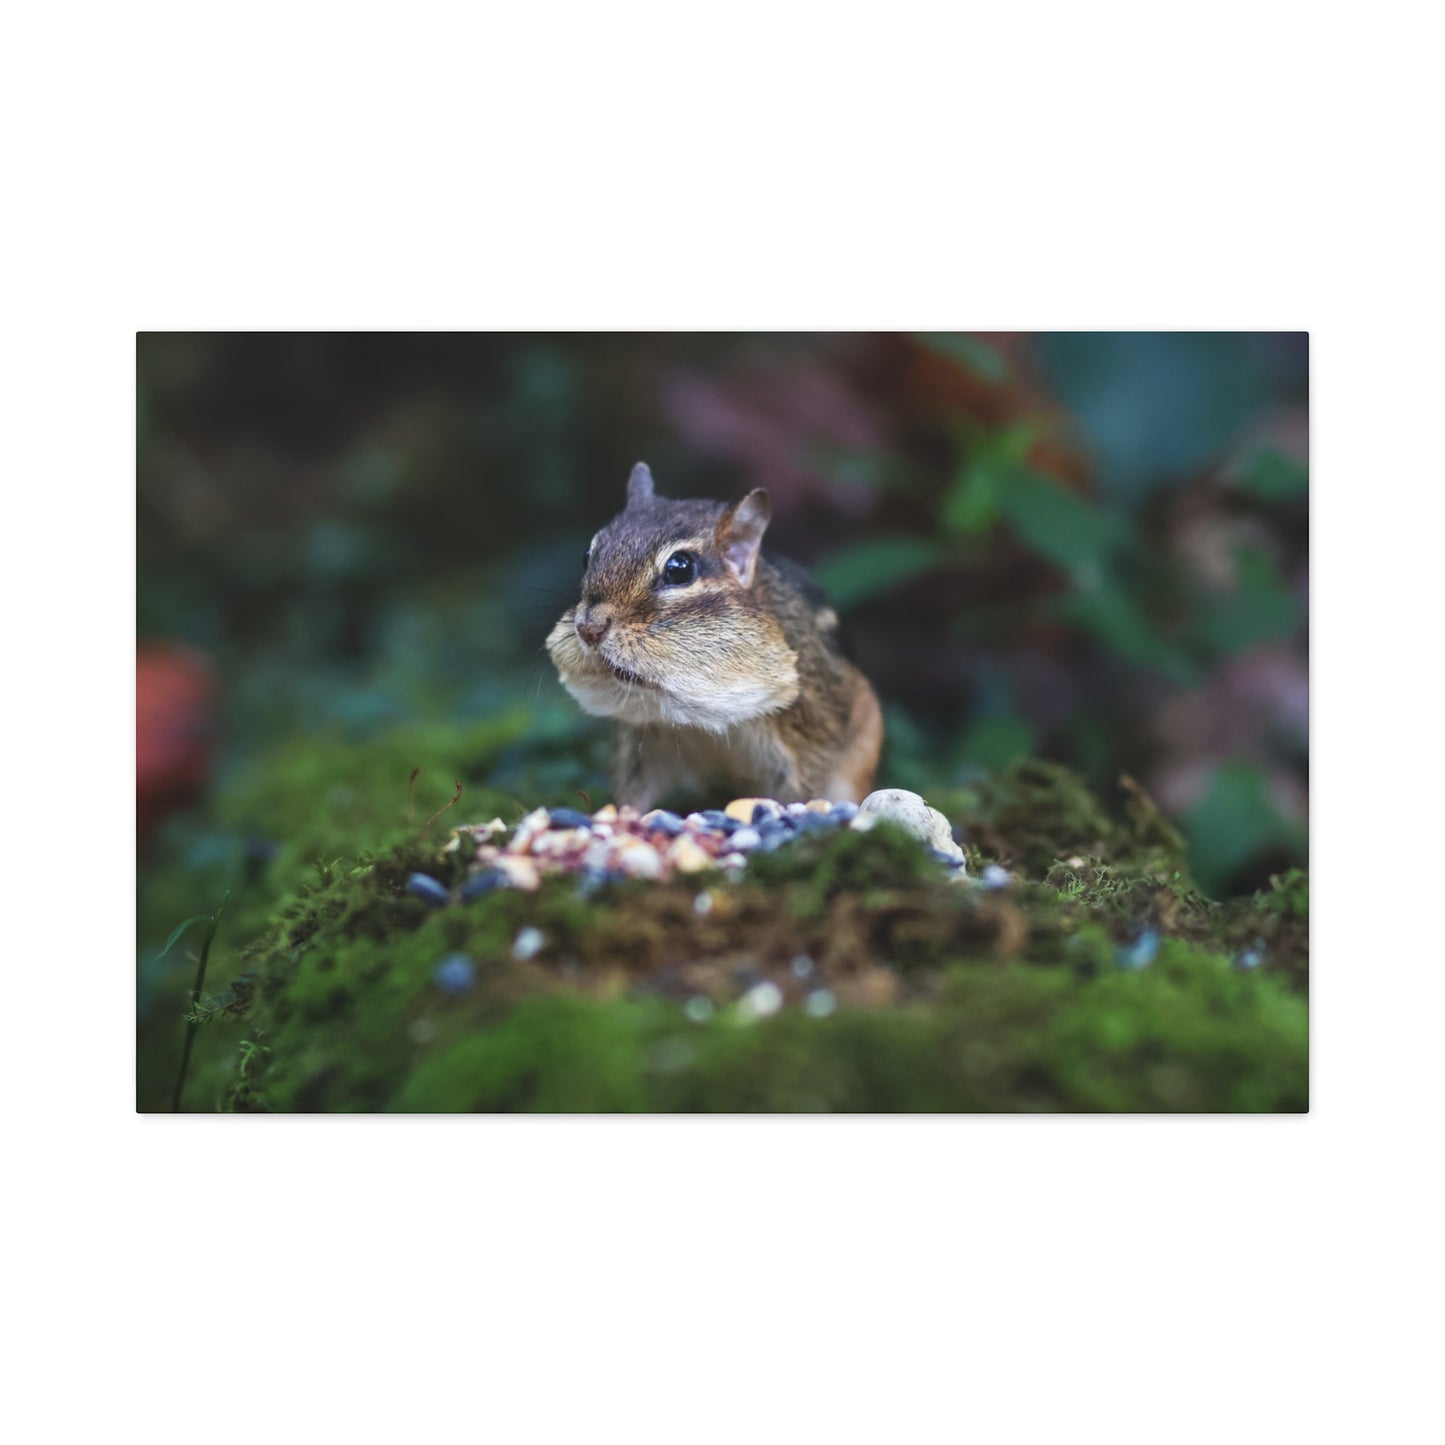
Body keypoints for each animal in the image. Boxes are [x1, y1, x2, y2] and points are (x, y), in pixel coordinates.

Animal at [546, 462, 883, 812]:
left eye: (680, 569)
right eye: (587, 555)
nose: (589, 628)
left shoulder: (809, 735)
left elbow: (804, 788)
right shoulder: (643, 741)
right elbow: (633, 792)